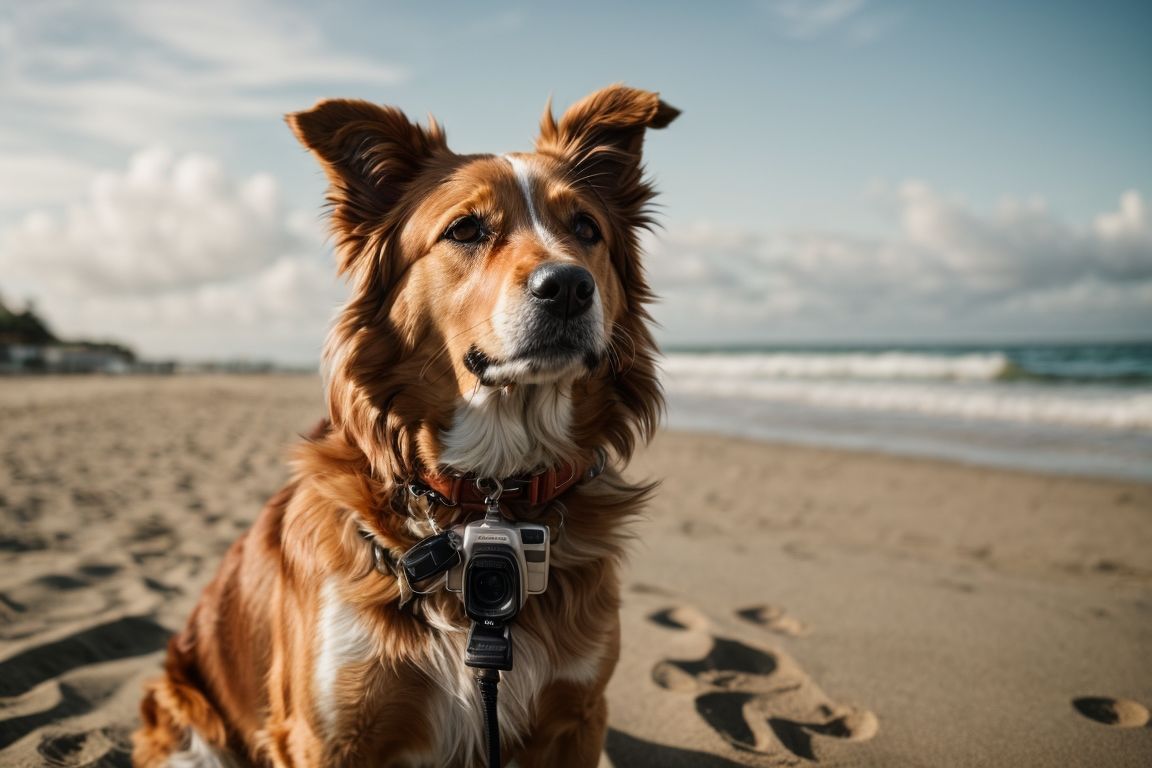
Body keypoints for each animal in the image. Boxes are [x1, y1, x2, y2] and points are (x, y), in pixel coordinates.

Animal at [131, 85, 677, 768]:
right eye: (466, 229)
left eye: (585, 229)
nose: (570, 286)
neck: (489, 495)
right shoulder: (329, 732)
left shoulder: (576, 718)